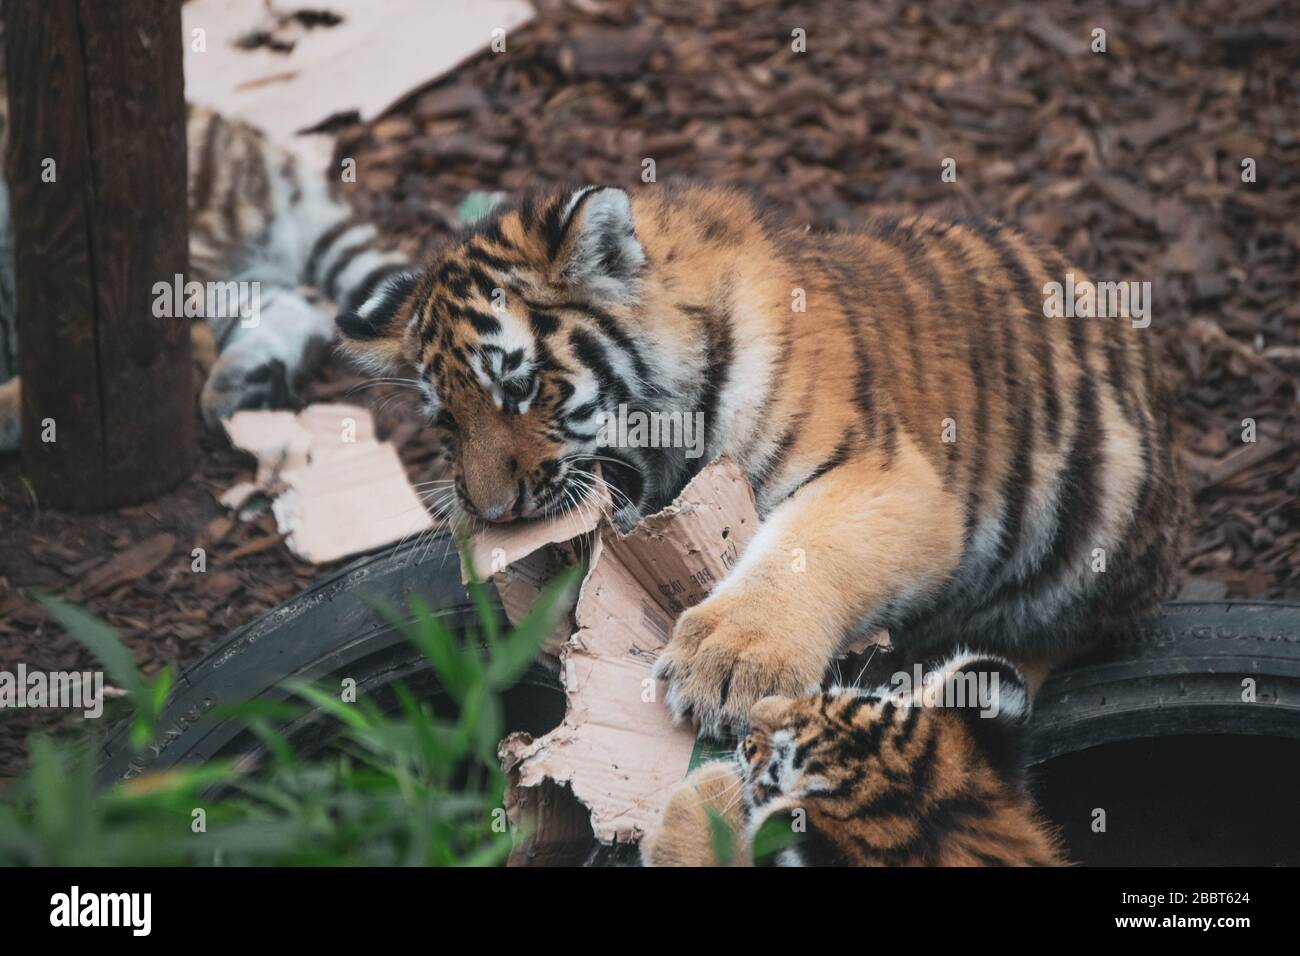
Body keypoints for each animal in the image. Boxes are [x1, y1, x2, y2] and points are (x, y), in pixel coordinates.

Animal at [338, 183, 1190, 738]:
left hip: (1096, 522)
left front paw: (730, 658)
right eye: (446, 421)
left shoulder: (890, 478)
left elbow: (806, 550)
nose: (491, 511)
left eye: (520, 386)